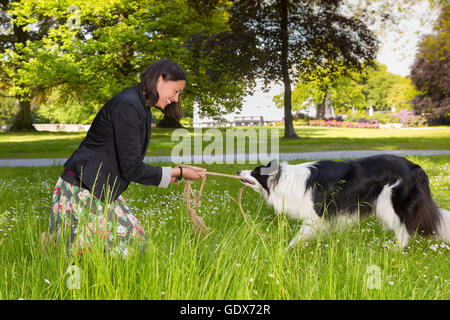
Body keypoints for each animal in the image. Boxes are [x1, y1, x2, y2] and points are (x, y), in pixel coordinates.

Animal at [237, 154, 448, 248]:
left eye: (254, 172)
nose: (239, 170)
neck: (284, 179)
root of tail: (416, 167)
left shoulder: (315, 216)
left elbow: (297, 237)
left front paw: (286, 250)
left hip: (389, 203)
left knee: (404, 228)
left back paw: (396, 250)